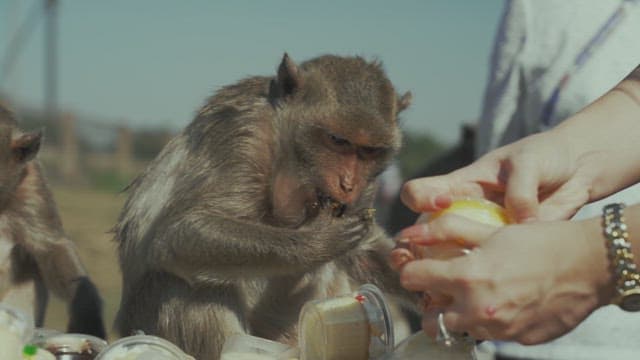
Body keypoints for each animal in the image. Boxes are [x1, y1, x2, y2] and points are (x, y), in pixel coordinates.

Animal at [114, 52, 416, 358]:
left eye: (369, 151)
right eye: (337, 141)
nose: (348, 183)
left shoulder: (367, 188)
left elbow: (364, 250)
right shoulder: (242, 134)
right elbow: (182, 233)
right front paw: (317, 242)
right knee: (186, 283)